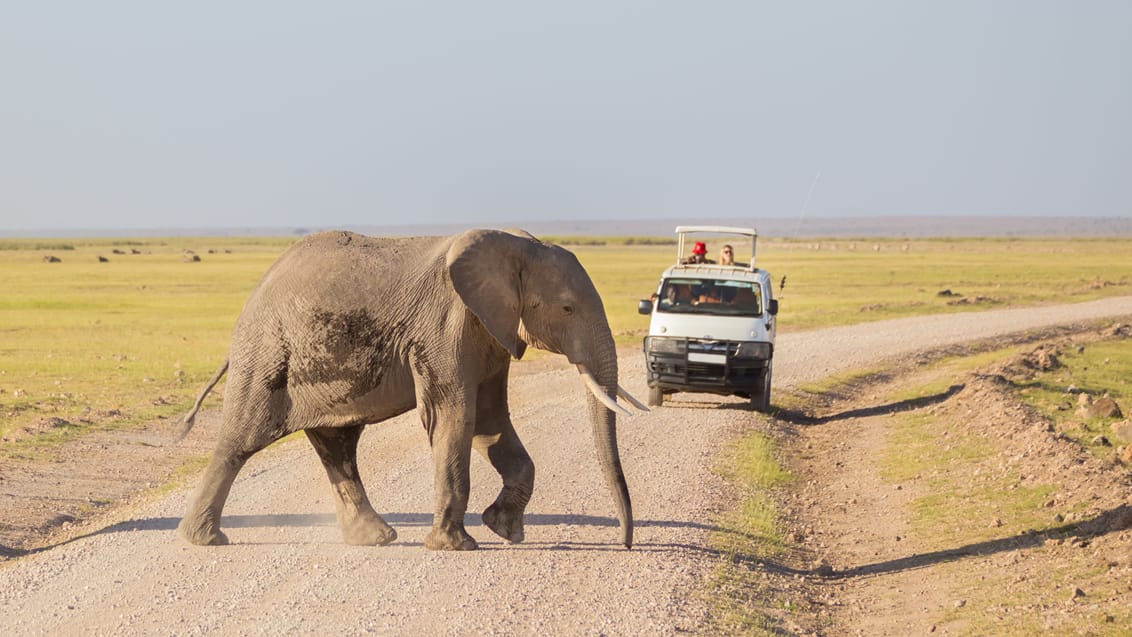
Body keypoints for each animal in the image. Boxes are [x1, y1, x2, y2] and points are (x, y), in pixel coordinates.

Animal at [172, 230, 642, 554]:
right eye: (567, 308)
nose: (626, 544)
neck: (515, 244)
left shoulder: (491, 332)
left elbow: (490, 423)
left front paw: (503, 529)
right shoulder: (444, 328)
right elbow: (455, 417)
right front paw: (456, 547)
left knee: (337, 445)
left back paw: (374, 538)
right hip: (268, 354)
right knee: (241, 441)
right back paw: (204, 540)